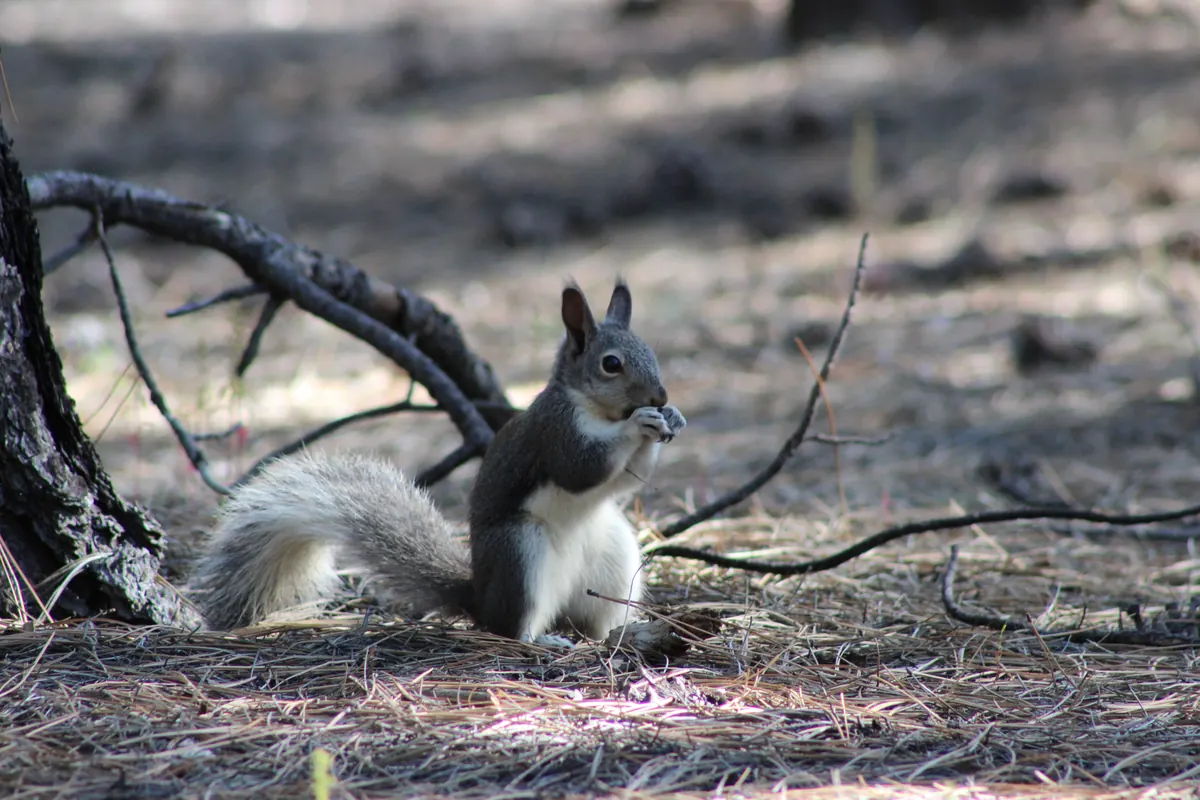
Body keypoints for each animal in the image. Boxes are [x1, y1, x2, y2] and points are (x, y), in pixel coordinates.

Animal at [190, 279, 686, 646]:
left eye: (651, 352)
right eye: (611, 364)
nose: (660, 395)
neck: (597, 411)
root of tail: (480, 597)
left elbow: (630, 478)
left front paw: (672, 419)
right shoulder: (554, 433)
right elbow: (582, 468)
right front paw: (639, 423)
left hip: (613, 555)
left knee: (597, 620)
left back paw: (624, 631)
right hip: (521, 551)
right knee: (509, 627)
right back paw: (541, 638)